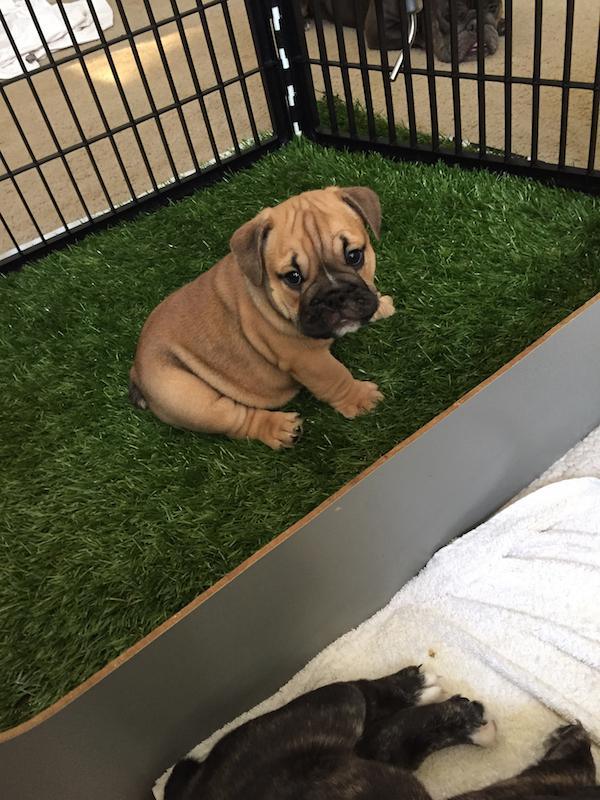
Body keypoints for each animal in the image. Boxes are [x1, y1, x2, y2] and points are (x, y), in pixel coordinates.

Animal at [129, 187, 395, 449]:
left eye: (354, 256)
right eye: (293, 277)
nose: (335, 296)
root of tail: (137, 369)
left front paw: (380, 306)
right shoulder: (305, 358)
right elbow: (335, 376)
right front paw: (360, 398)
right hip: (189, 397)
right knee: (236, 419)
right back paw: (279, 428)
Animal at [301, 1, 504, 63]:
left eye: (493, 7)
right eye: (449, 15)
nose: (476, 25)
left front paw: (501, 24)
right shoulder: (379, 30)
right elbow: (417, 34)